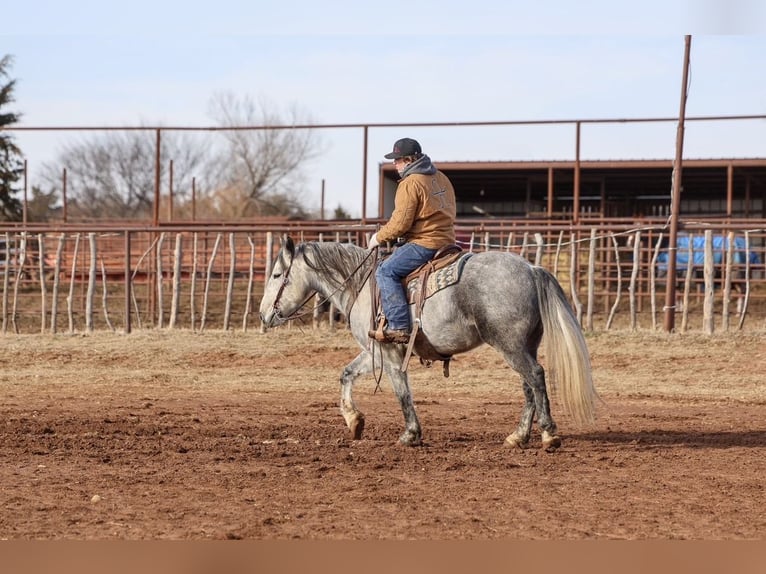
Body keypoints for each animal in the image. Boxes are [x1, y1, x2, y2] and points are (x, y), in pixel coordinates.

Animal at [259, 235, 598, 450]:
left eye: (276, 275)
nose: (263, 315)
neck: (361, 285)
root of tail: (531, 268)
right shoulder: (374, 352)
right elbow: (346, 374)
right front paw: (354, 421)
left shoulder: (390, 354)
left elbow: (402, 392)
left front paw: (410, 434)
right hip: (522, 345)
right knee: (528, 386)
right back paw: (518, 437)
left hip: (510, 346)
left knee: (536, 377)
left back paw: (548, 435)